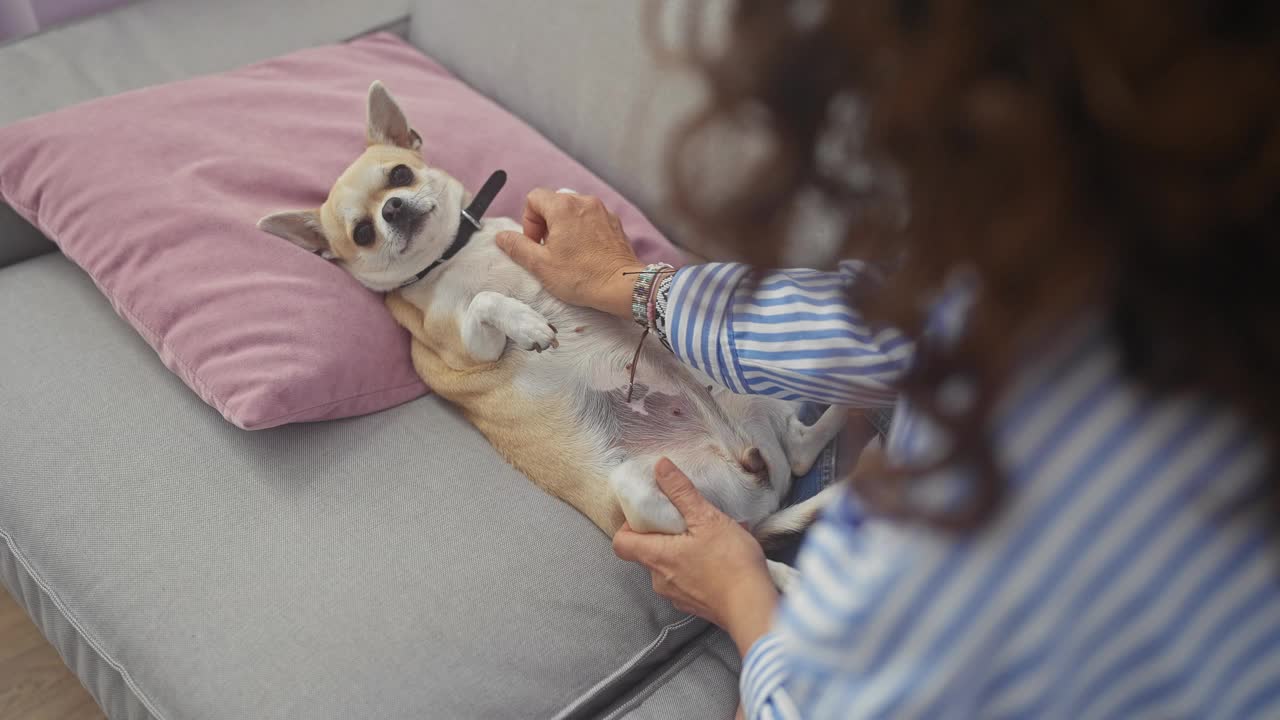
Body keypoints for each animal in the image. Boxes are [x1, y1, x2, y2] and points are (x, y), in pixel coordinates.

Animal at [254, 81, 844, 586]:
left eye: (399, 175)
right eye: (362, 233)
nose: (393, 208)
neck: (455, 254)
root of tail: (754, 483)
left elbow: (542, 222)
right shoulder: (466, 348)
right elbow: (487, 302)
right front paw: (530, 324)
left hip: (741, 383)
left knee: (800, 449)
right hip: (642, 487)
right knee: (741, 529)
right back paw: (782, 569)